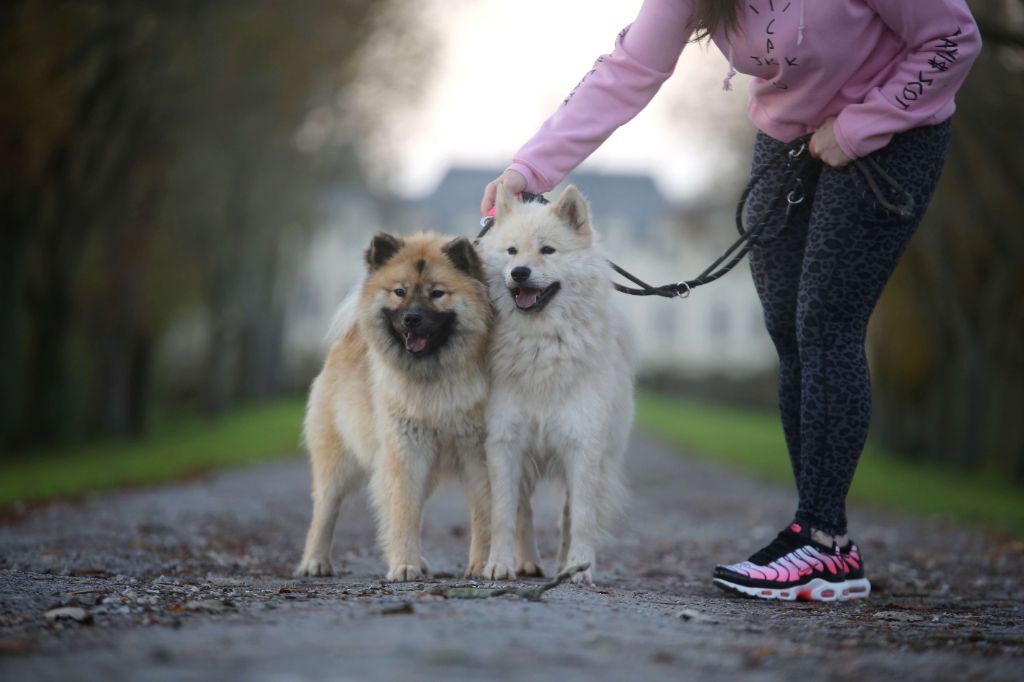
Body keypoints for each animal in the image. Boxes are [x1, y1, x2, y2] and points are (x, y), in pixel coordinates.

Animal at [296, 232, 491, 577]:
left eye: (437, 293)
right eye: (400, 292)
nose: (411, 319)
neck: (433, 377)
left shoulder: (475, 452)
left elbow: (482, 512)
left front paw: (481, 565)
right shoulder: (405, 451)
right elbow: (403, 511)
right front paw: (404, 565)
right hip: (339, 463)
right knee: (325, 509)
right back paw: (315, 561)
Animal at [477, 183, 634, 581]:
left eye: (547, 250)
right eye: (512, 251)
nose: (519, 272)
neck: (541, 344)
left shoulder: (582, 445)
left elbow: (580, 518)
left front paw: (579, 567)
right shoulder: (505, 443)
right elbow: (504, 514)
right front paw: (498, 564)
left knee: (567, 515)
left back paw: (565, 565)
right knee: (524, 511)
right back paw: (527, 562)